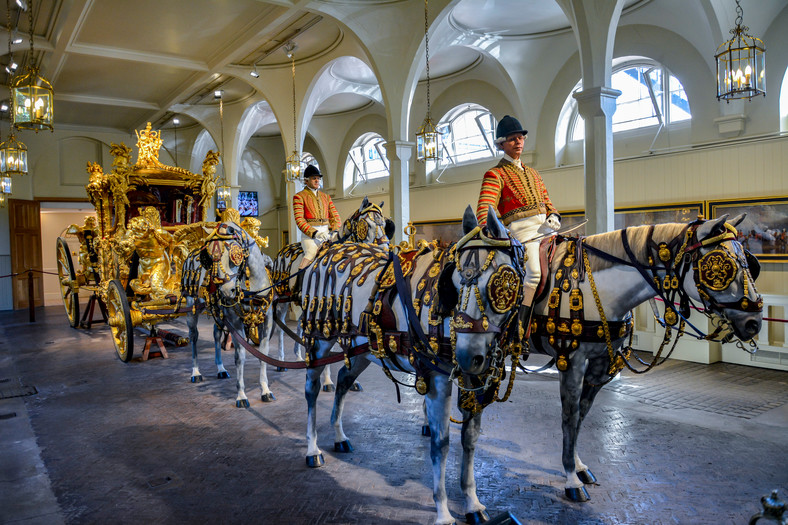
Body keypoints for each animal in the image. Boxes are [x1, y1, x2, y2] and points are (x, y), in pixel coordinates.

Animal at [182, 215, 278, 408]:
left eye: (235, 254)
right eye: (208, 257)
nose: (226, 291)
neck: (252, 286)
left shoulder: (267, 319)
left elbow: (263, 353)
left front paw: (265, 390)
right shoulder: (234, 321)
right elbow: (240, 356)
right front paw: (241, 395)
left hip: (218, 312)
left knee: (216, 333)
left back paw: (220, 368)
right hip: (191, 306)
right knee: (193, 336)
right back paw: (195, 372)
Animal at [270, 195, 394, 388]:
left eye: (384, 223)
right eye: (367, 224)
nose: (385, 249)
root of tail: (282, 251)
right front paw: (328, 381)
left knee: (298, 326)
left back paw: (299, 356)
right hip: (282, 300)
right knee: (281, 328)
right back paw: (281, 362)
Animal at [298, 206, 528, 524]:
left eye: (501, 284)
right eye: (455, 284)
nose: (467, 358)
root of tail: (327, 251)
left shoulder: (475, 380)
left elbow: (470, 439)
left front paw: (472, 502)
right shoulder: (436, 379)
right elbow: (441, 444)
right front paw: (443, 511)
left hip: (363, 349)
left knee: (344, 379)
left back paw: (340, 435)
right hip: (321, 338)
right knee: (311, 388)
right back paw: (312, 448)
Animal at [456, 214, 764, 504]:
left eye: (749, 264)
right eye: (723, 266)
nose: (754, 323)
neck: (601, 291)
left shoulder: (600, 365)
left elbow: (582, 415)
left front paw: (579, 466)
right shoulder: (572, 362)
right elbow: (569, 417)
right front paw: (571, 479)